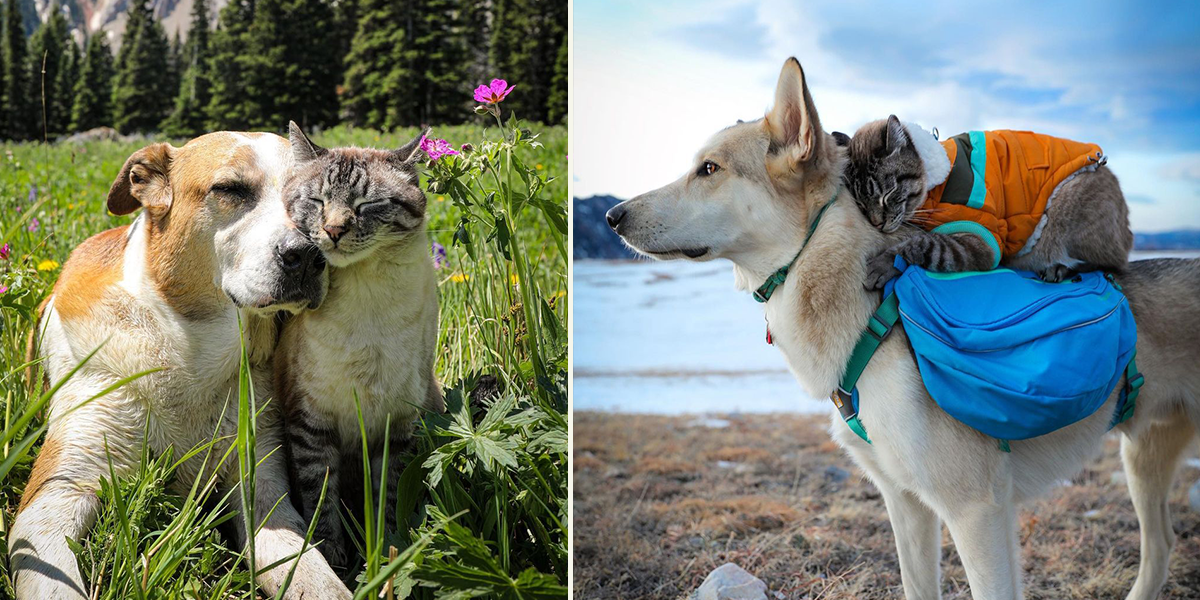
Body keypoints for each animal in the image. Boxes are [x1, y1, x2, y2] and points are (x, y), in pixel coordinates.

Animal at [10, 132, 350, 600]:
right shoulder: (54, 495)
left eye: (316, 198)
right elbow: (54, 580)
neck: (189, 349)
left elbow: (315, 577)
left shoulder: (262, 486)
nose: (310, 255)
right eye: (230, 189)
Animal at [274, 120, 444, 566]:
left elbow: (388, 500)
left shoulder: (398, 425)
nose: (334, 230)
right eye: (317, 200)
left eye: (367, 204)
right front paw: (333, 555)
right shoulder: (311, 423)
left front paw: (386, 555)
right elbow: (321, 499)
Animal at [840, 115, 1128, 290]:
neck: (935, 184)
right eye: (862, 203)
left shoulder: (984, 242)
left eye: (888, 194)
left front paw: (884, 263)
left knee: (1112, 262)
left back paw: (1058, 268)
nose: (877, 223)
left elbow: (923, 244)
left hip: (1069, 205)